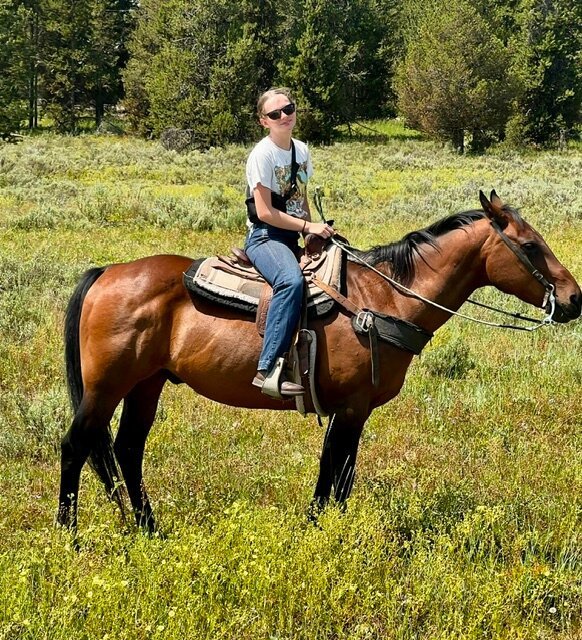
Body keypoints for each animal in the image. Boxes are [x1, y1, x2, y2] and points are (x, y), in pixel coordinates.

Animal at [57, 191, 581, 533]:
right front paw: (322, 532)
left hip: (147, 383)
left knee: (128, 449)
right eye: (530, 246)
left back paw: (149, 528)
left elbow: (338, 474)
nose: (574, 299)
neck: (383, 299)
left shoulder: (353, 410)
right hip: (106, 387)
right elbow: (335, 474)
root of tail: (106, 273)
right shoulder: (350, 407)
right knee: (75, 446)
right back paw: (70, 536)